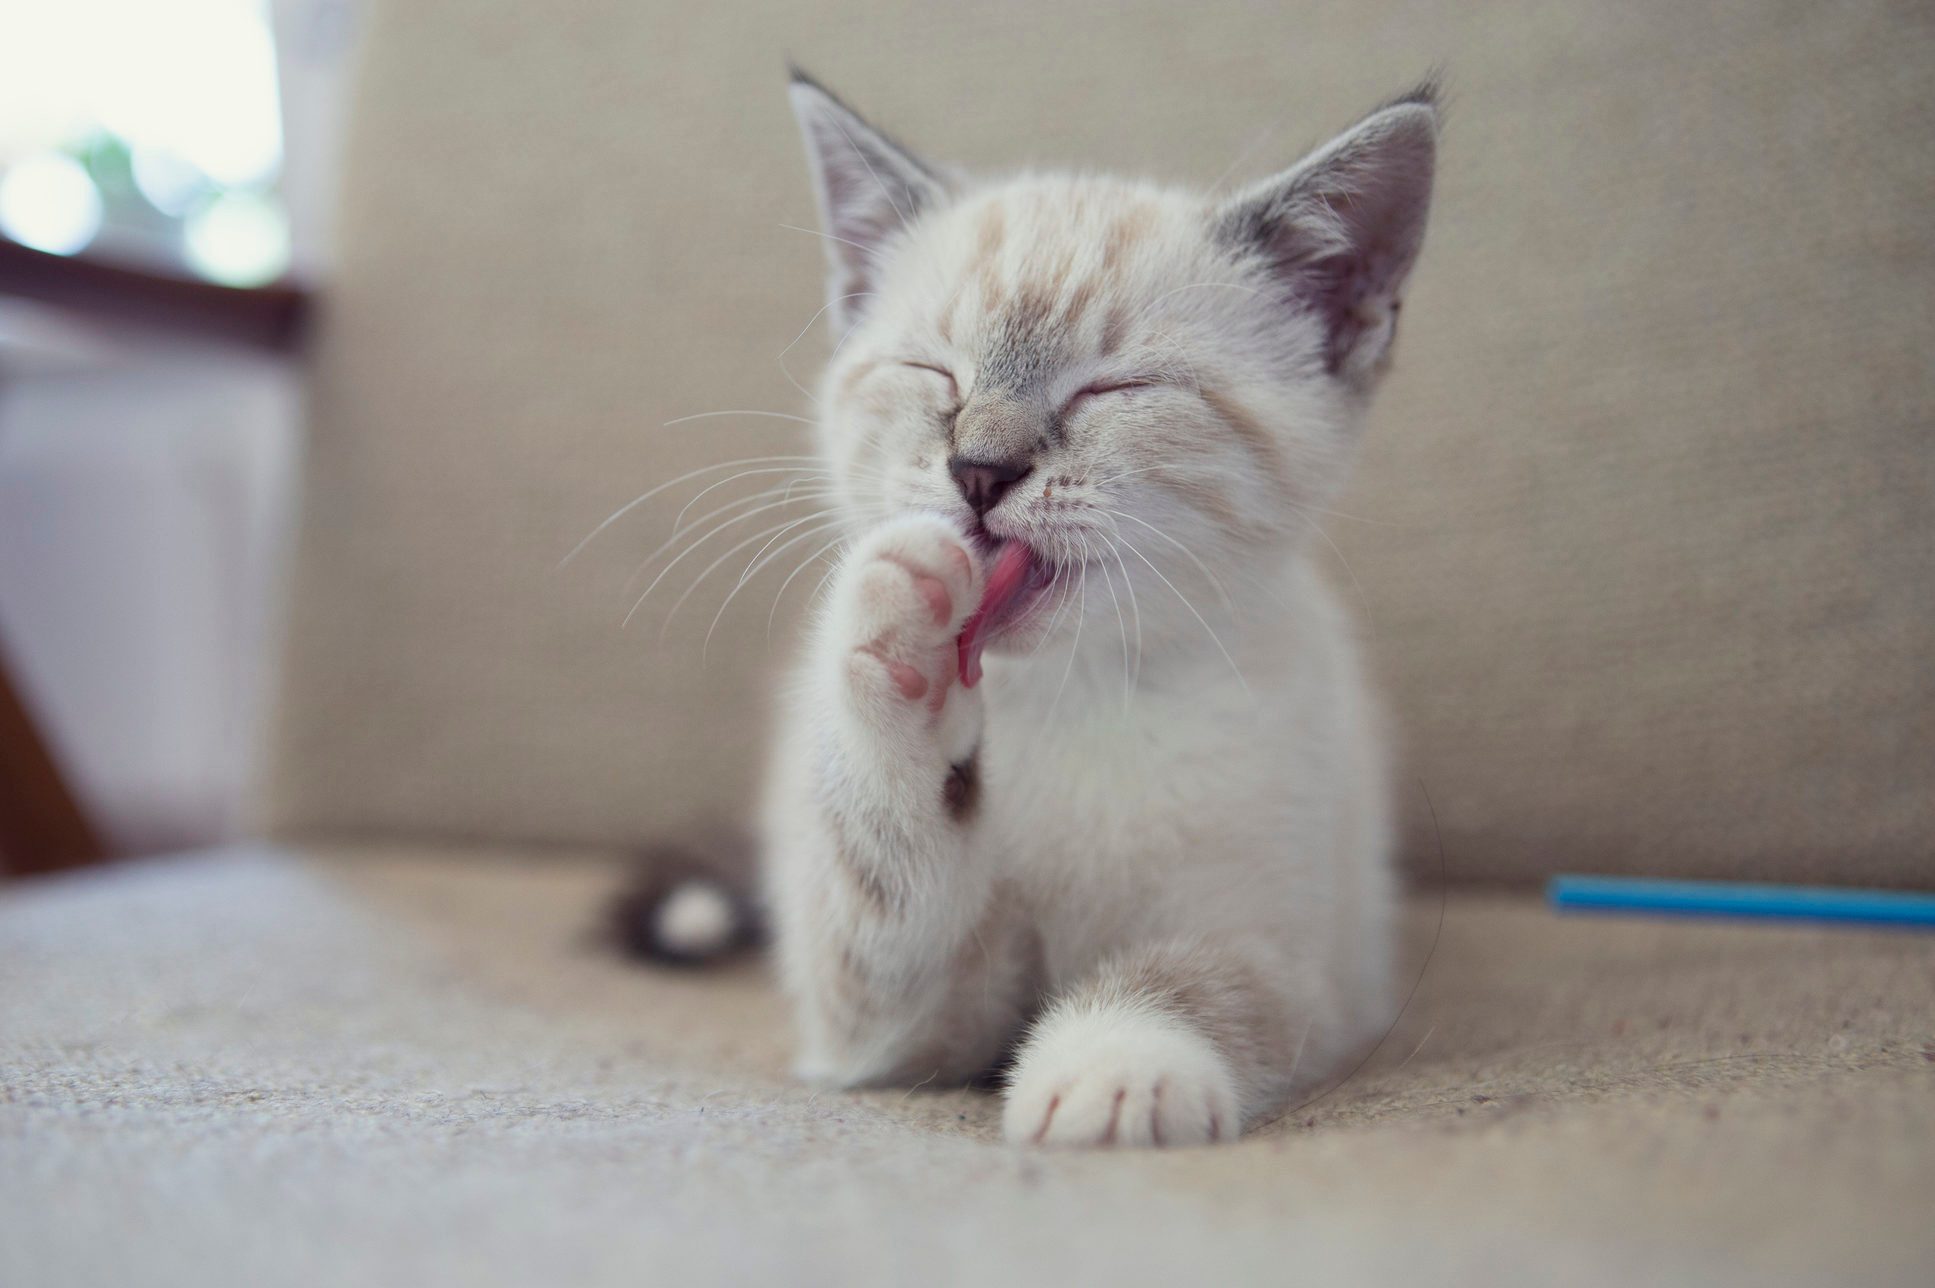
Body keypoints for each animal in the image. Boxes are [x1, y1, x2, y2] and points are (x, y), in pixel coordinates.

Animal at [642, 70, 1431, 1144]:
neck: (1075, 691)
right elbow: (888, 899)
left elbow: (1193, 978)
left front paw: (1112, 1065)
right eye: (935, 374)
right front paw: (901, 642)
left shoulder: (1295, 954)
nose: (980, 468)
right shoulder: (896, 1032)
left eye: (1113, 389)